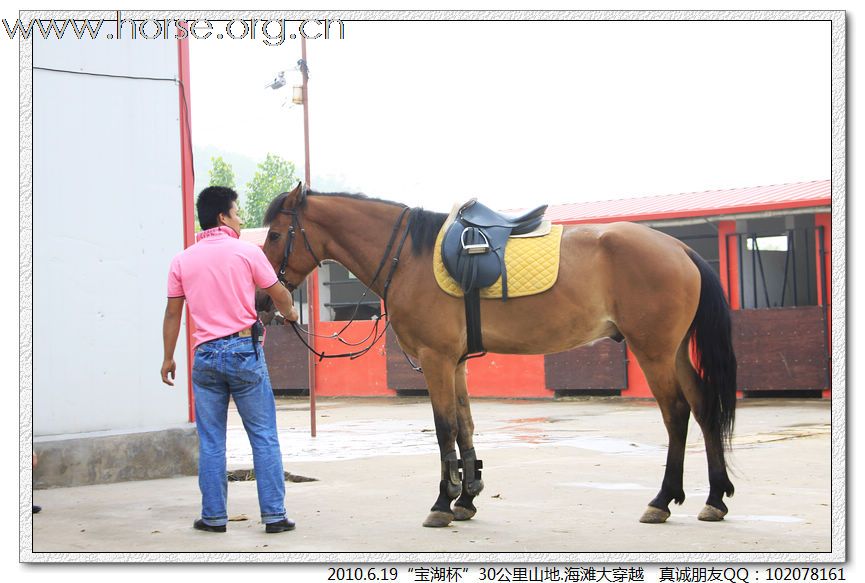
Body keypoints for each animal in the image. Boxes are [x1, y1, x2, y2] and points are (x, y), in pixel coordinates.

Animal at [264, 186, 736, 528]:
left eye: (274, 235)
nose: (265, 299)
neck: (410, 257)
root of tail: (678, 249)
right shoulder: (455, 363)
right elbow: (465, 427)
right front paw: (466, 496)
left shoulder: (436, 360)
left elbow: (444, 430)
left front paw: (442, 501)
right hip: (674, 351)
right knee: (703, 407)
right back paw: (714, 498)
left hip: (653, 351)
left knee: (677, 413)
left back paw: (662, 500)